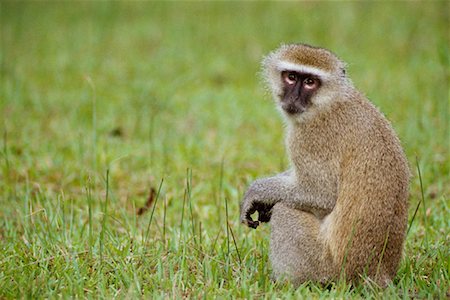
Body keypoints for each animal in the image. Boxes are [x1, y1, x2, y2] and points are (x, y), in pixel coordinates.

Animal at [241, 44, 410, 286]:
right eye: (291, 77)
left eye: (310, 82)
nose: (293, 98)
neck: (329, 101)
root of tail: (377, 272)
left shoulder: (309, 138)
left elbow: (322, 194)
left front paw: (258, 192)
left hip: (325, 267)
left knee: (285, 211)